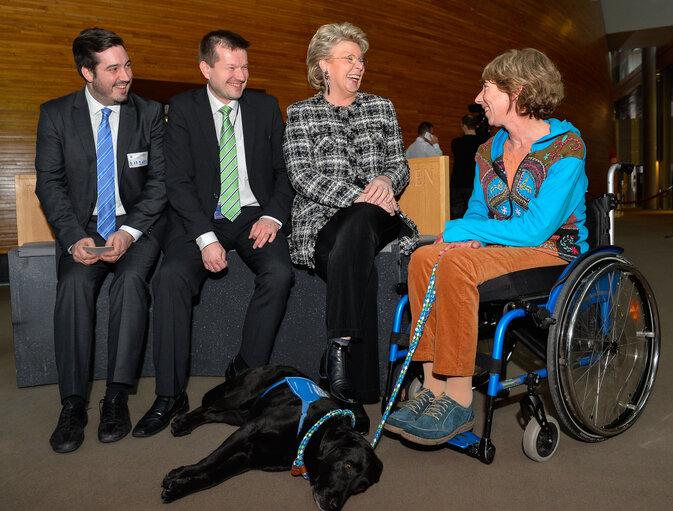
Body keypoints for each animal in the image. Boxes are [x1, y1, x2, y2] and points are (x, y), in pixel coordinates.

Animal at [162, 366, 380, 510]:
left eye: (360, 489)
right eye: (348, 466)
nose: (334, 506)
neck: (313, 431)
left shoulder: (248, 458)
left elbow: (213, 476)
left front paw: (178, 489)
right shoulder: (249, 429)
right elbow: (212, 459)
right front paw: (180, 473)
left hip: (240, 415)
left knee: (211, 413)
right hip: (239, 397)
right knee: (207, 407)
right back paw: (183, 423)